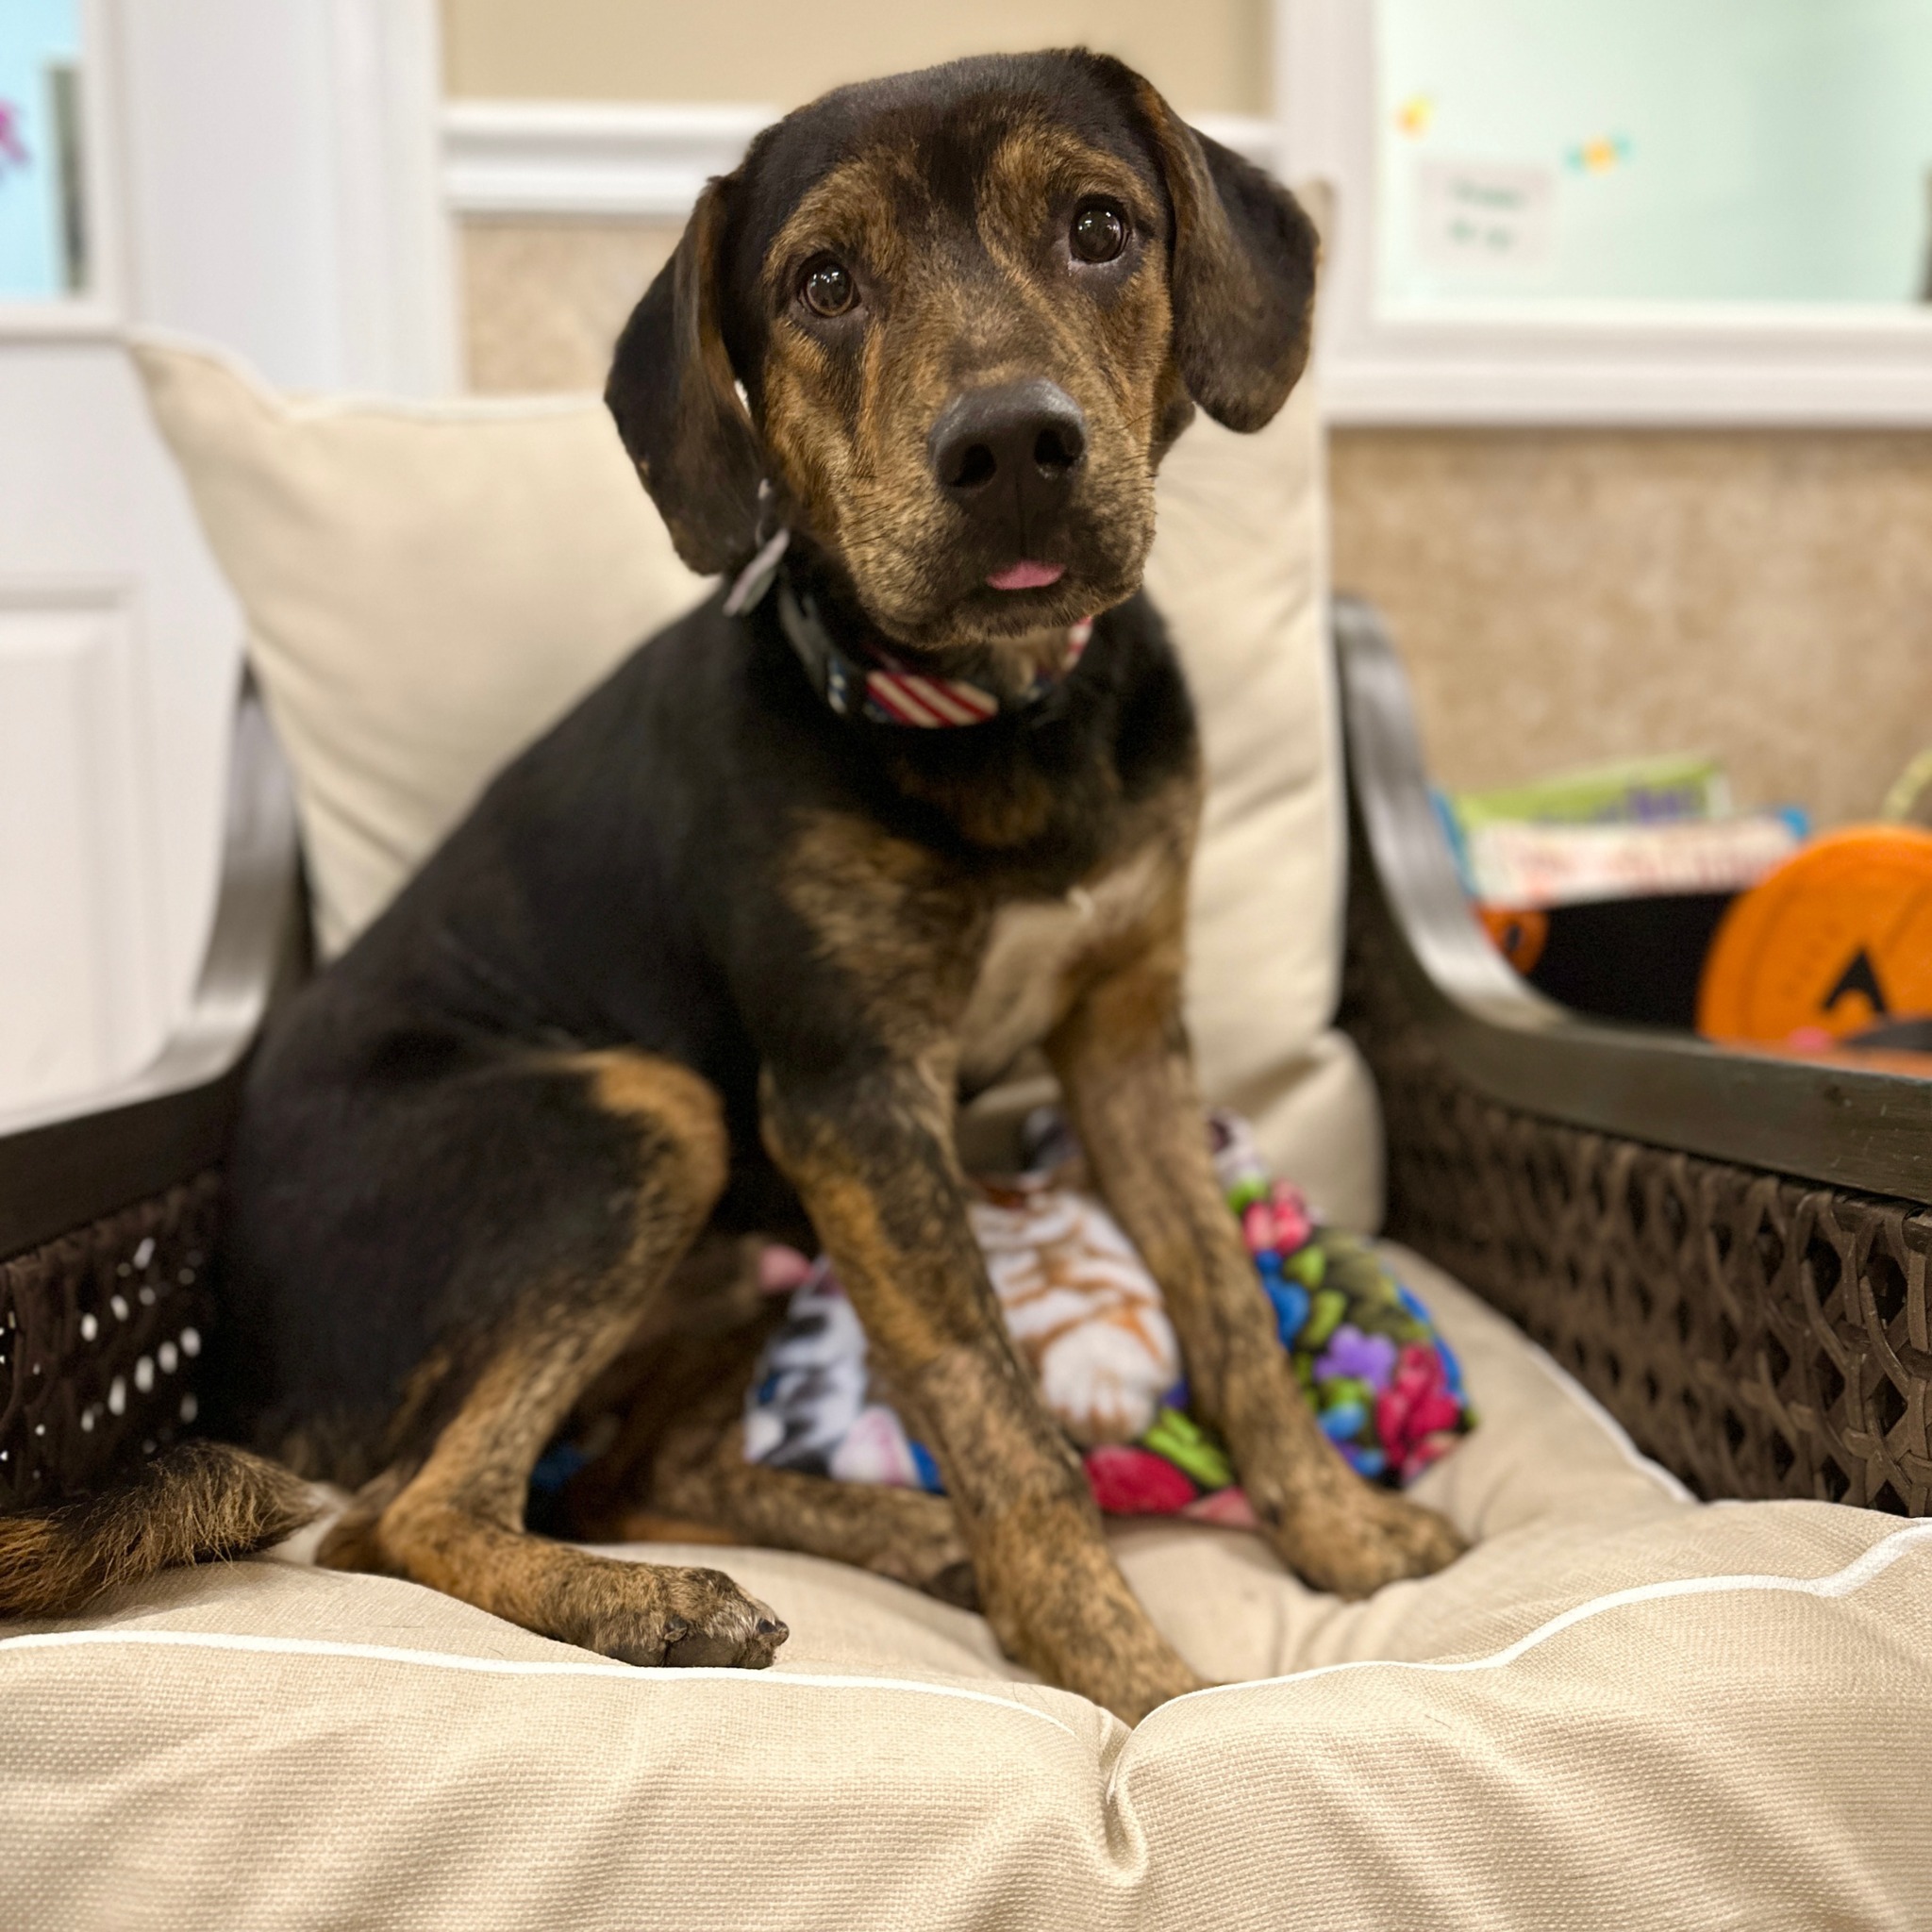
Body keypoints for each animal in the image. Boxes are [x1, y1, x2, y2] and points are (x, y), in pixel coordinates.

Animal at [0, 48, 1453, 1723]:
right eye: (823, 283)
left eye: (1101, 228)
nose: (1011, 449)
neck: (1002, 717)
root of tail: (238, 1364)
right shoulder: (854, 1103)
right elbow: (999, 1412)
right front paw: (1137, 1682)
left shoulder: (1126, 1041)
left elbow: (1227, 1313)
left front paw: (1339, 1531)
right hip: (652, 1120)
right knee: (401, 1515)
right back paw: (657, 1608)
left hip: (756, 1226)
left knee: (618, 1473)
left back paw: (882, 1539)